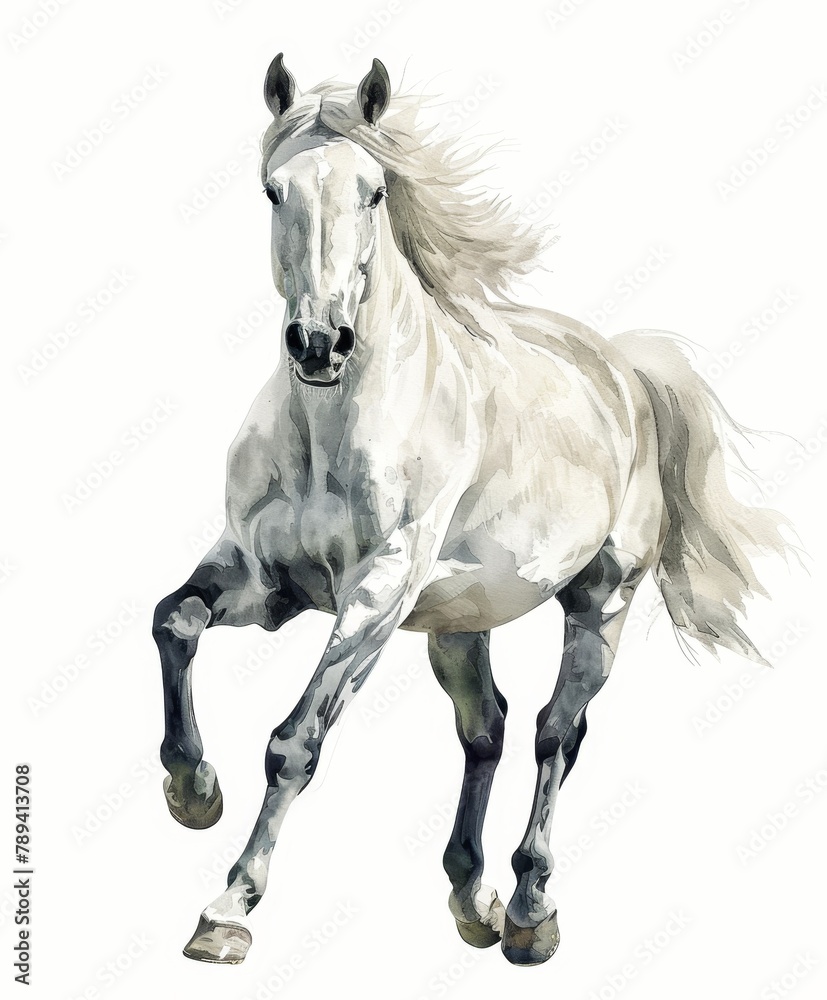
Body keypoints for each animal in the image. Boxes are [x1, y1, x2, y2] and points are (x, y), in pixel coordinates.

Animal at [153, 54, 788, 967]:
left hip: (601, 600)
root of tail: (622, 370)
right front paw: (192, 790)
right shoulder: (263, 579)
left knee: (556, 733)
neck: (329, 429)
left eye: (374, 192)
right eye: (274, 190)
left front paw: (227, 910)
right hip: (457, 622)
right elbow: (174, 621)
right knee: (486, 728)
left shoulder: (373, 596)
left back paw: (527, 912)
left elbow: (294, 742)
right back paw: (471, 900)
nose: (319, 344)